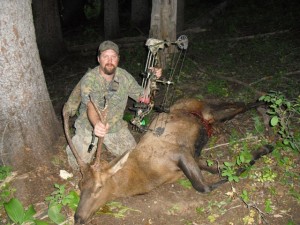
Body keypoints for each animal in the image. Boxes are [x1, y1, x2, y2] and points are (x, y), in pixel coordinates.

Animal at [62, 97, 274, 224]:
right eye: (80, 186)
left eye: (99, 187)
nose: (78, 218)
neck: (147, 177)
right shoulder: (192, 157)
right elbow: (217, 170)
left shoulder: (179, 153)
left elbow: (203, 186)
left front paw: (265, 148)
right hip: (212, 118)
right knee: (233, 108)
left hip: (208, 110)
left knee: (237, 106)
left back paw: (265, 103)